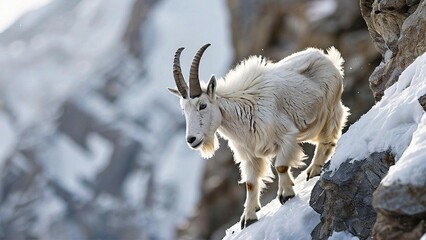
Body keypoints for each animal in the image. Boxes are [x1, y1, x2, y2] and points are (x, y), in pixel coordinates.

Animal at [168, 43, 348, 229]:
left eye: (202, 105)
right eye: (184, 110)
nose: (192, 140)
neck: (244, 111)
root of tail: (327, 58)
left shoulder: (287, 135)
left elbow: (280, 166)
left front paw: (286, 194)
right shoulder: (249, 155)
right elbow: (250, 184)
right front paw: (248, 218)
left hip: (327, 112)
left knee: (328, 138)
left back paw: (313, 170)